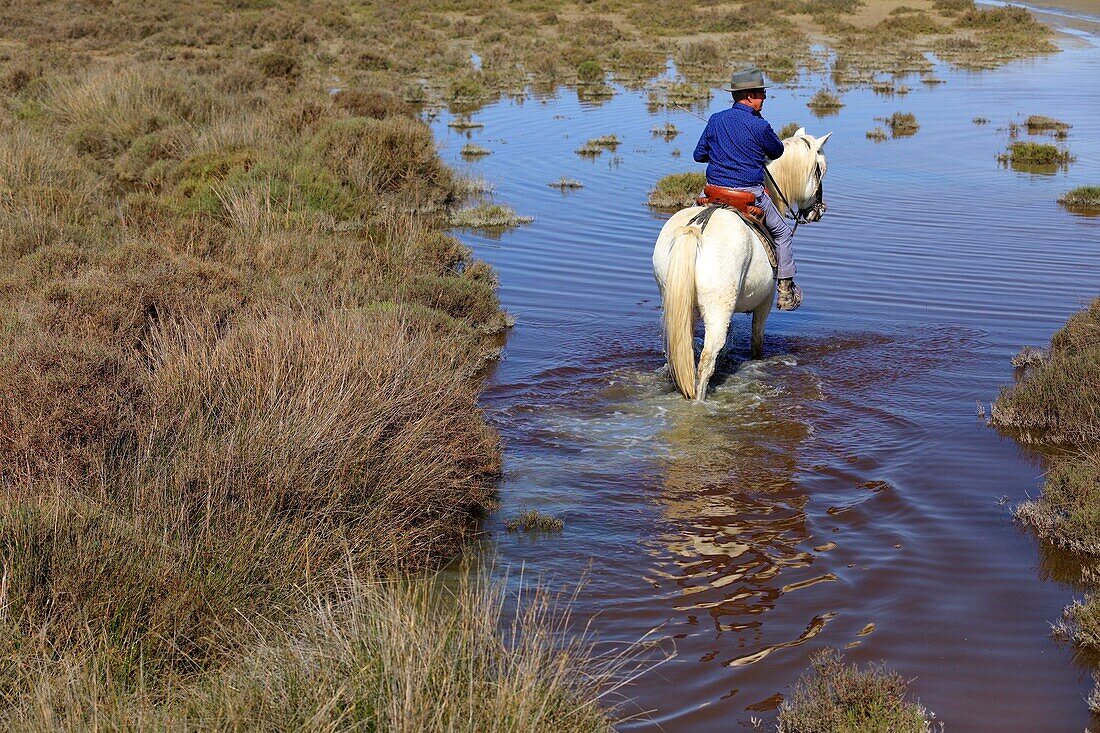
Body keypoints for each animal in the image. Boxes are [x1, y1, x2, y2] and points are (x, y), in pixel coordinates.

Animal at [651, 127, 831, 400]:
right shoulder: (764, 303)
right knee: (705, 361)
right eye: (820, 169)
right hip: (717, 310)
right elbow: (757, 343)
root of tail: (696, 228)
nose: (819, 211)